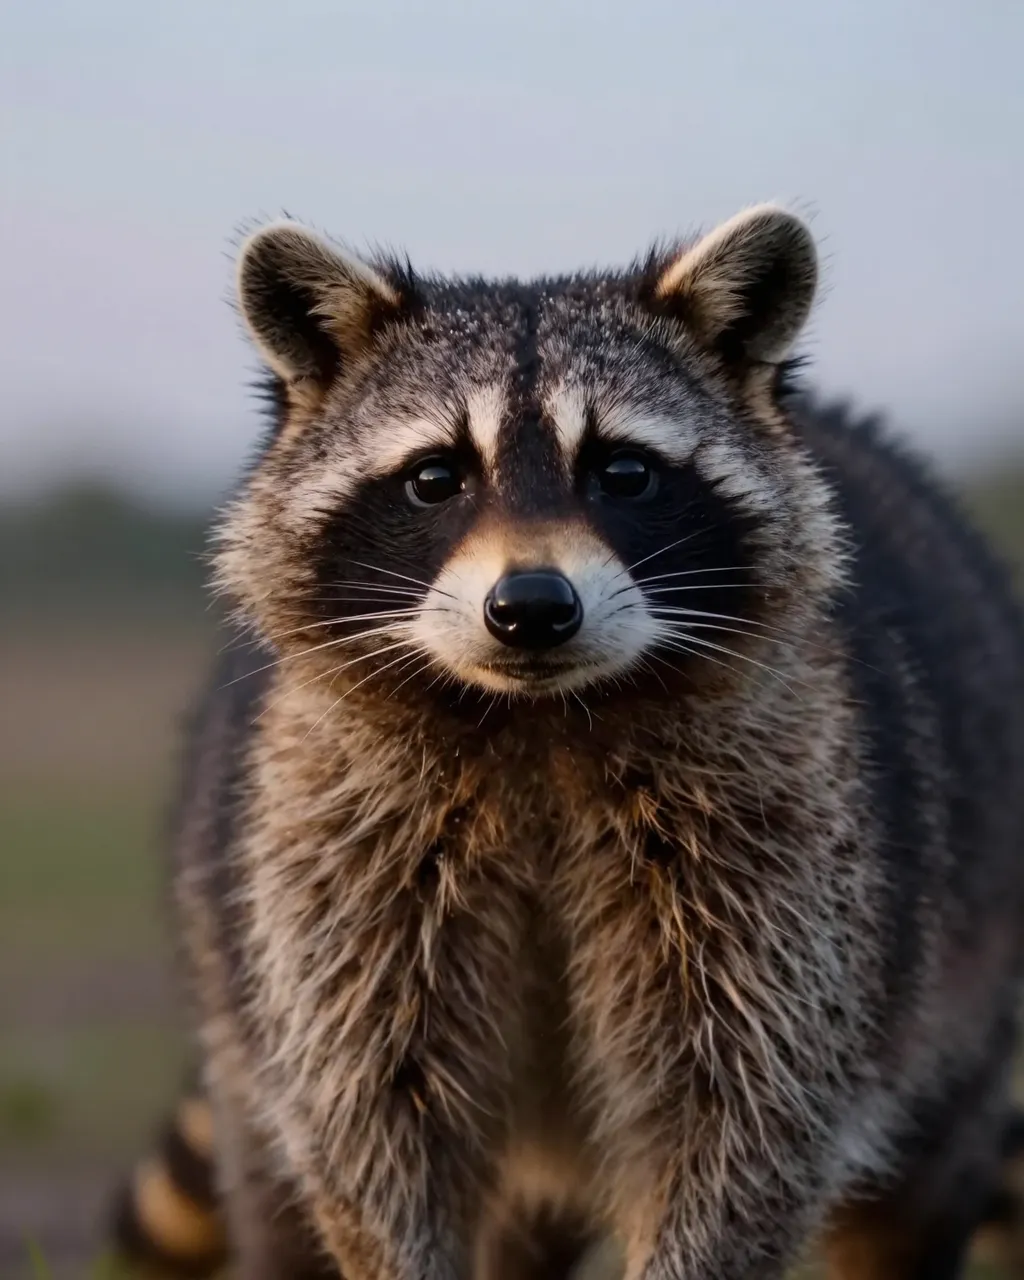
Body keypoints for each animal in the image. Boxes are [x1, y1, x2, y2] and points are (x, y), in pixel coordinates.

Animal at [110, 205, 1024, 1280]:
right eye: (436, 477)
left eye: (623, 472)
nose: (533, 608)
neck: (539, 725)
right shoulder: (340, 854)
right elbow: (375, 1126)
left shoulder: (782, 851)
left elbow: (742, 1119)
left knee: (909, 1202)